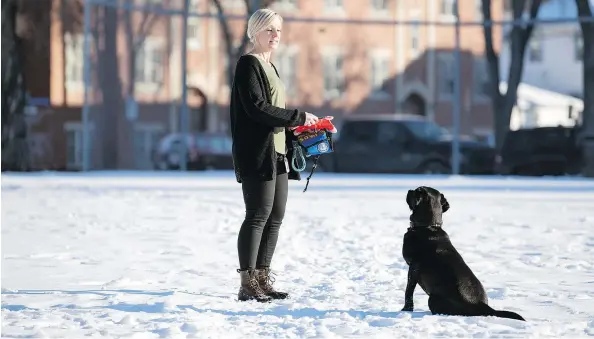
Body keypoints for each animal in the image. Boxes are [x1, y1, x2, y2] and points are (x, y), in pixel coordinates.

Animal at [398, 186, 524, 322]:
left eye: (417, 190)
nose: (409, 190)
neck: (428, 226)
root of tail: (484, 306)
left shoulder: (413, 268)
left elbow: (408, 291)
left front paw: (406, 309)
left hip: (433, 299)